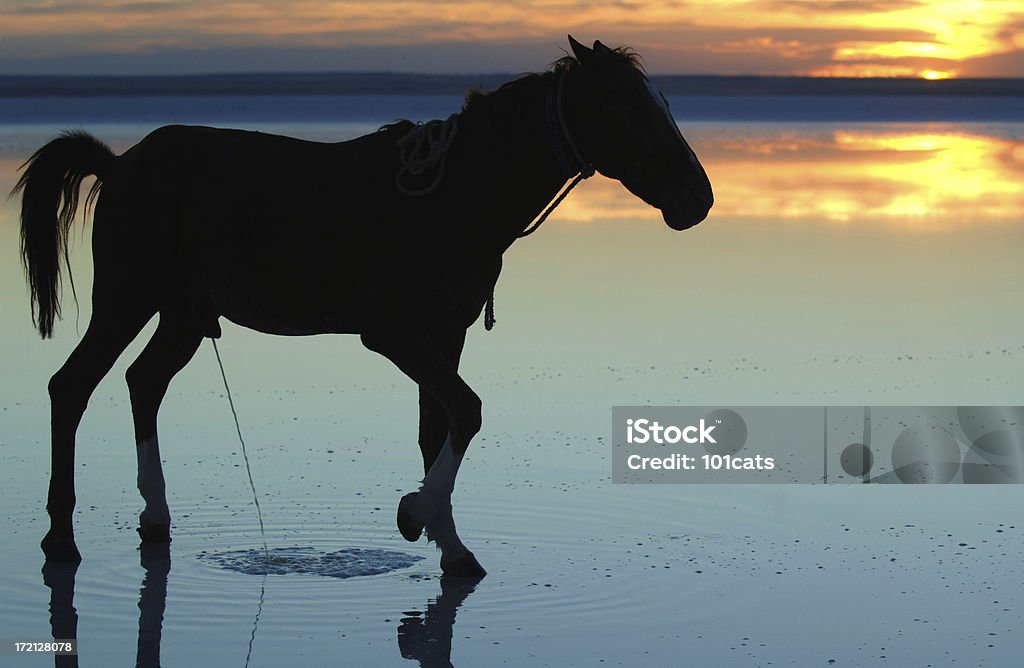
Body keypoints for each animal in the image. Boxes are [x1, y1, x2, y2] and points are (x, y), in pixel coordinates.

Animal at [14, 37, 712, 577]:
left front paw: (451, 547)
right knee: (71, 387)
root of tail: (120, 164)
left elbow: (439, 429)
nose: (697, 198)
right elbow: (468, 410)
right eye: (626, 106)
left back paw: (155, 518)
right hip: (125, 299)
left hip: (184, 314)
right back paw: (61, 539)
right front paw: (415, 514)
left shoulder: (445, 334)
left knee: (144, 382)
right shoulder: (393, 332)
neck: (456, 194)